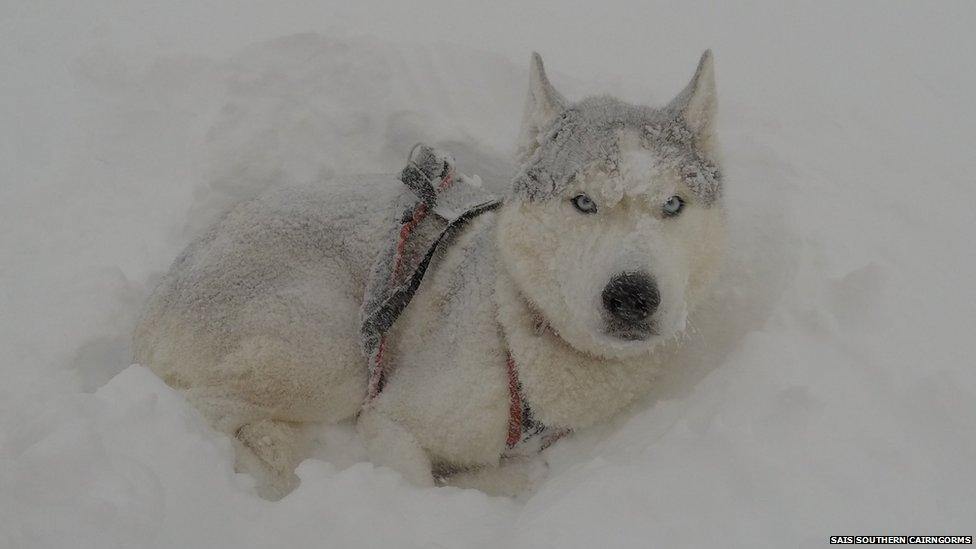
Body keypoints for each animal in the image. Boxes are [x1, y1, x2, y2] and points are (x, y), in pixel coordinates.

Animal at [132, 50, 724, 496]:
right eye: (583, 203)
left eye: (673, 205)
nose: (632, 296)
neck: (517, 327)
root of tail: (155, 305)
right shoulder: (389, 420)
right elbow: (417, 480)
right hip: (336, 356)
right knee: (207, 405)